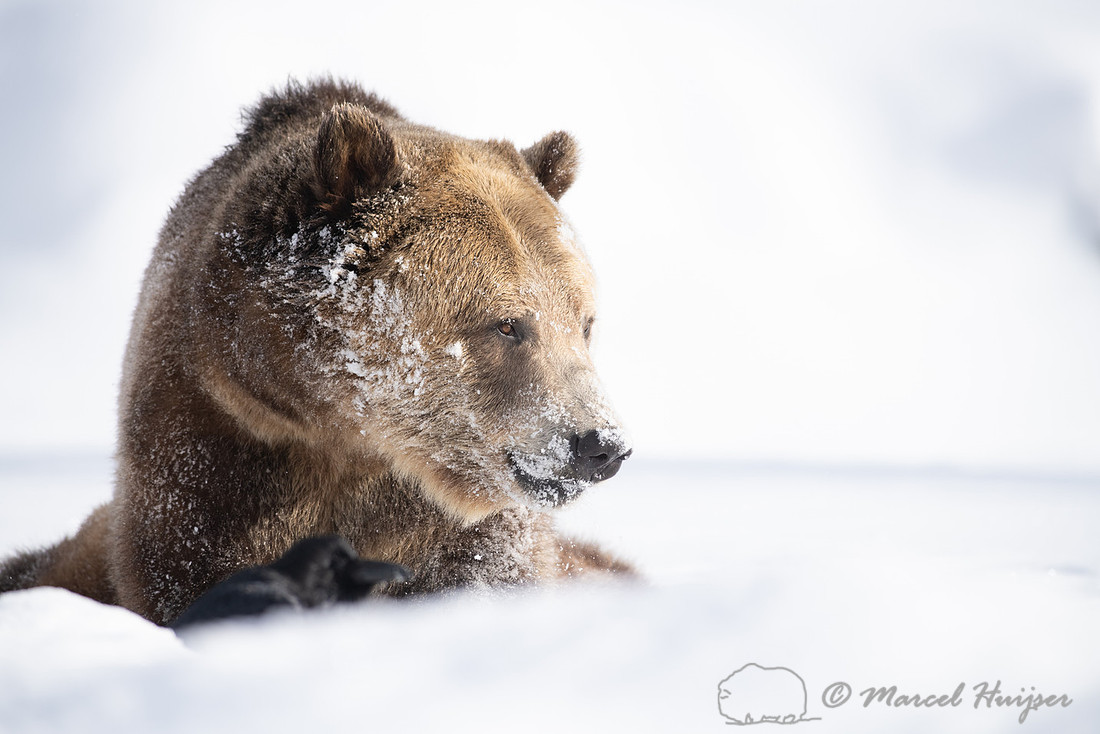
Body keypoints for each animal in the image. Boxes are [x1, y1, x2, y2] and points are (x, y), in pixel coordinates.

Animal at [0, 79, 634, 625]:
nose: (601, 445)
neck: (342, 432)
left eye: (583, 323)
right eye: (507, 325)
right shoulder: (209, 461)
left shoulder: (459, 529)